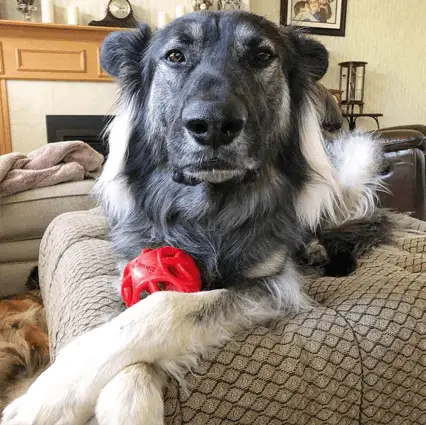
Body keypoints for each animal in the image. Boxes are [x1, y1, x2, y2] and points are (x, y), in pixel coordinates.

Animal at [1, 9, 386, 424]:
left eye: (262, 56)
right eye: (175, 56)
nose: (214, 125)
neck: (208, 213)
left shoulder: (271, 285)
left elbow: (164, 308)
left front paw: (50, 394)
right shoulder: (131, 269)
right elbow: (130, 322)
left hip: (352, 164)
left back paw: (321, 251)